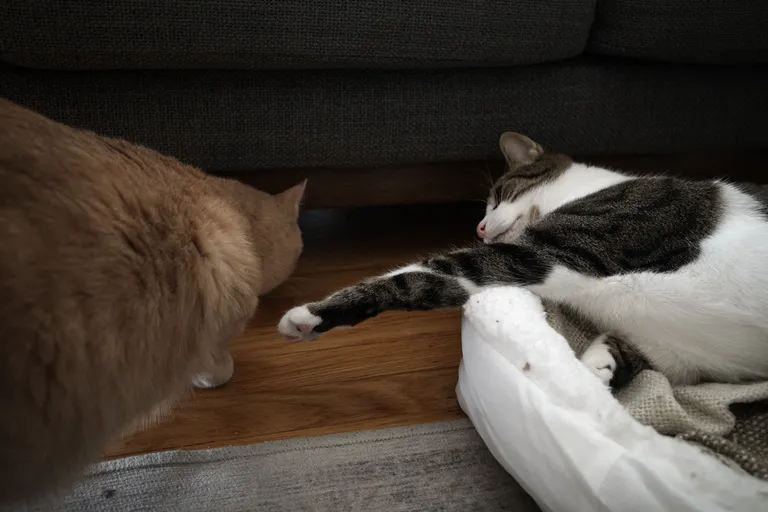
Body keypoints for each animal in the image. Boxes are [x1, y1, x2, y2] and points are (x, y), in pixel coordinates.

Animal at [280, 132, 768, 388]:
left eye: (499, 195)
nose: (478, 228)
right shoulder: (673, 355)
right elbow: (628, 357)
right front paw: (591, 375)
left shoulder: (551, 251)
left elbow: (421, 275)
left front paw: (309, 315)